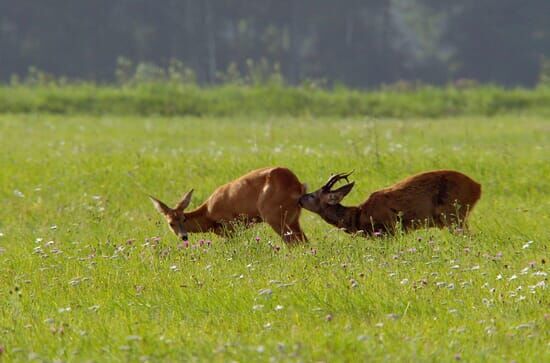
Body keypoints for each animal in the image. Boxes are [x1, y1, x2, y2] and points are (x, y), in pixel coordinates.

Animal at [149, 167, 308, 245]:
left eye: (183, 219)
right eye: (171, 223)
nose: (184, 237)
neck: (208, 214)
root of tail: (299, 186)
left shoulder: (230, 225)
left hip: (273, 215)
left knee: (292, 242)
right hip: (293, 218)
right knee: (304, 241)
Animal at [300, 171, 486, 236]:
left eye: (312, 195)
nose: (299, 199)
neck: (359, 215)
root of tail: (477, 187)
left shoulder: (389, 229)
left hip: (453, 214)